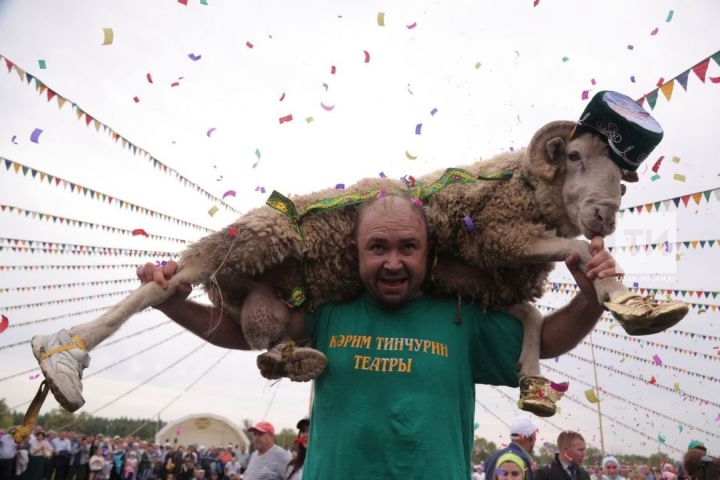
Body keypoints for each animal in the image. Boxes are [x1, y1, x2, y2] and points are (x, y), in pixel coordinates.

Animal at [29, 119, 692, 428]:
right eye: (574, 155)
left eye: (622, 170)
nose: (607, 214)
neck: (521, 188)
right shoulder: (497, 234)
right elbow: (577, 250)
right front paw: (623, 295)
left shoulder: (478, 272)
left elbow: (531, 313)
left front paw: (531, 378)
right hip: (246, 242)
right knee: (160, 284)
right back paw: (64, 354)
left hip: (271, 292)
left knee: (259, 335)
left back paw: (294, 360)